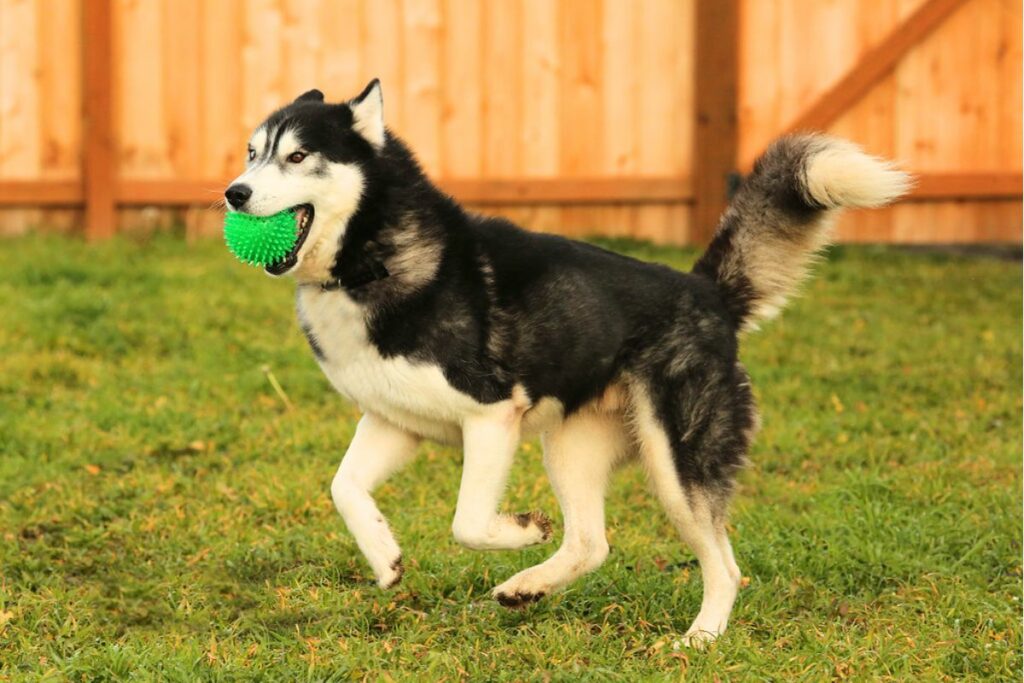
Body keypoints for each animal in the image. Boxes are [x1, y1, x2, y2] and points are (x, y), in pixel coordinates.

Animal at [228, 80, 909, 647]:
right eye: (251, 153)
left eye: (296, 157)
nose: (234, 193)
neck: (368, 261)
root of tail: (707, 292)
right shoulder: (396, 420)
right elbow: (343, 488)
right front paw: (385, 558)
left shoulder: (492, 415)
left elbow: (467, 521)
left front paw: (521, 530)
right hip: (570, 446)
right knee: (592, 543)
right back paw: (526, 587)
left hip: (675, 463)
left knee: (725, 563)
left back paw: (701, 637)